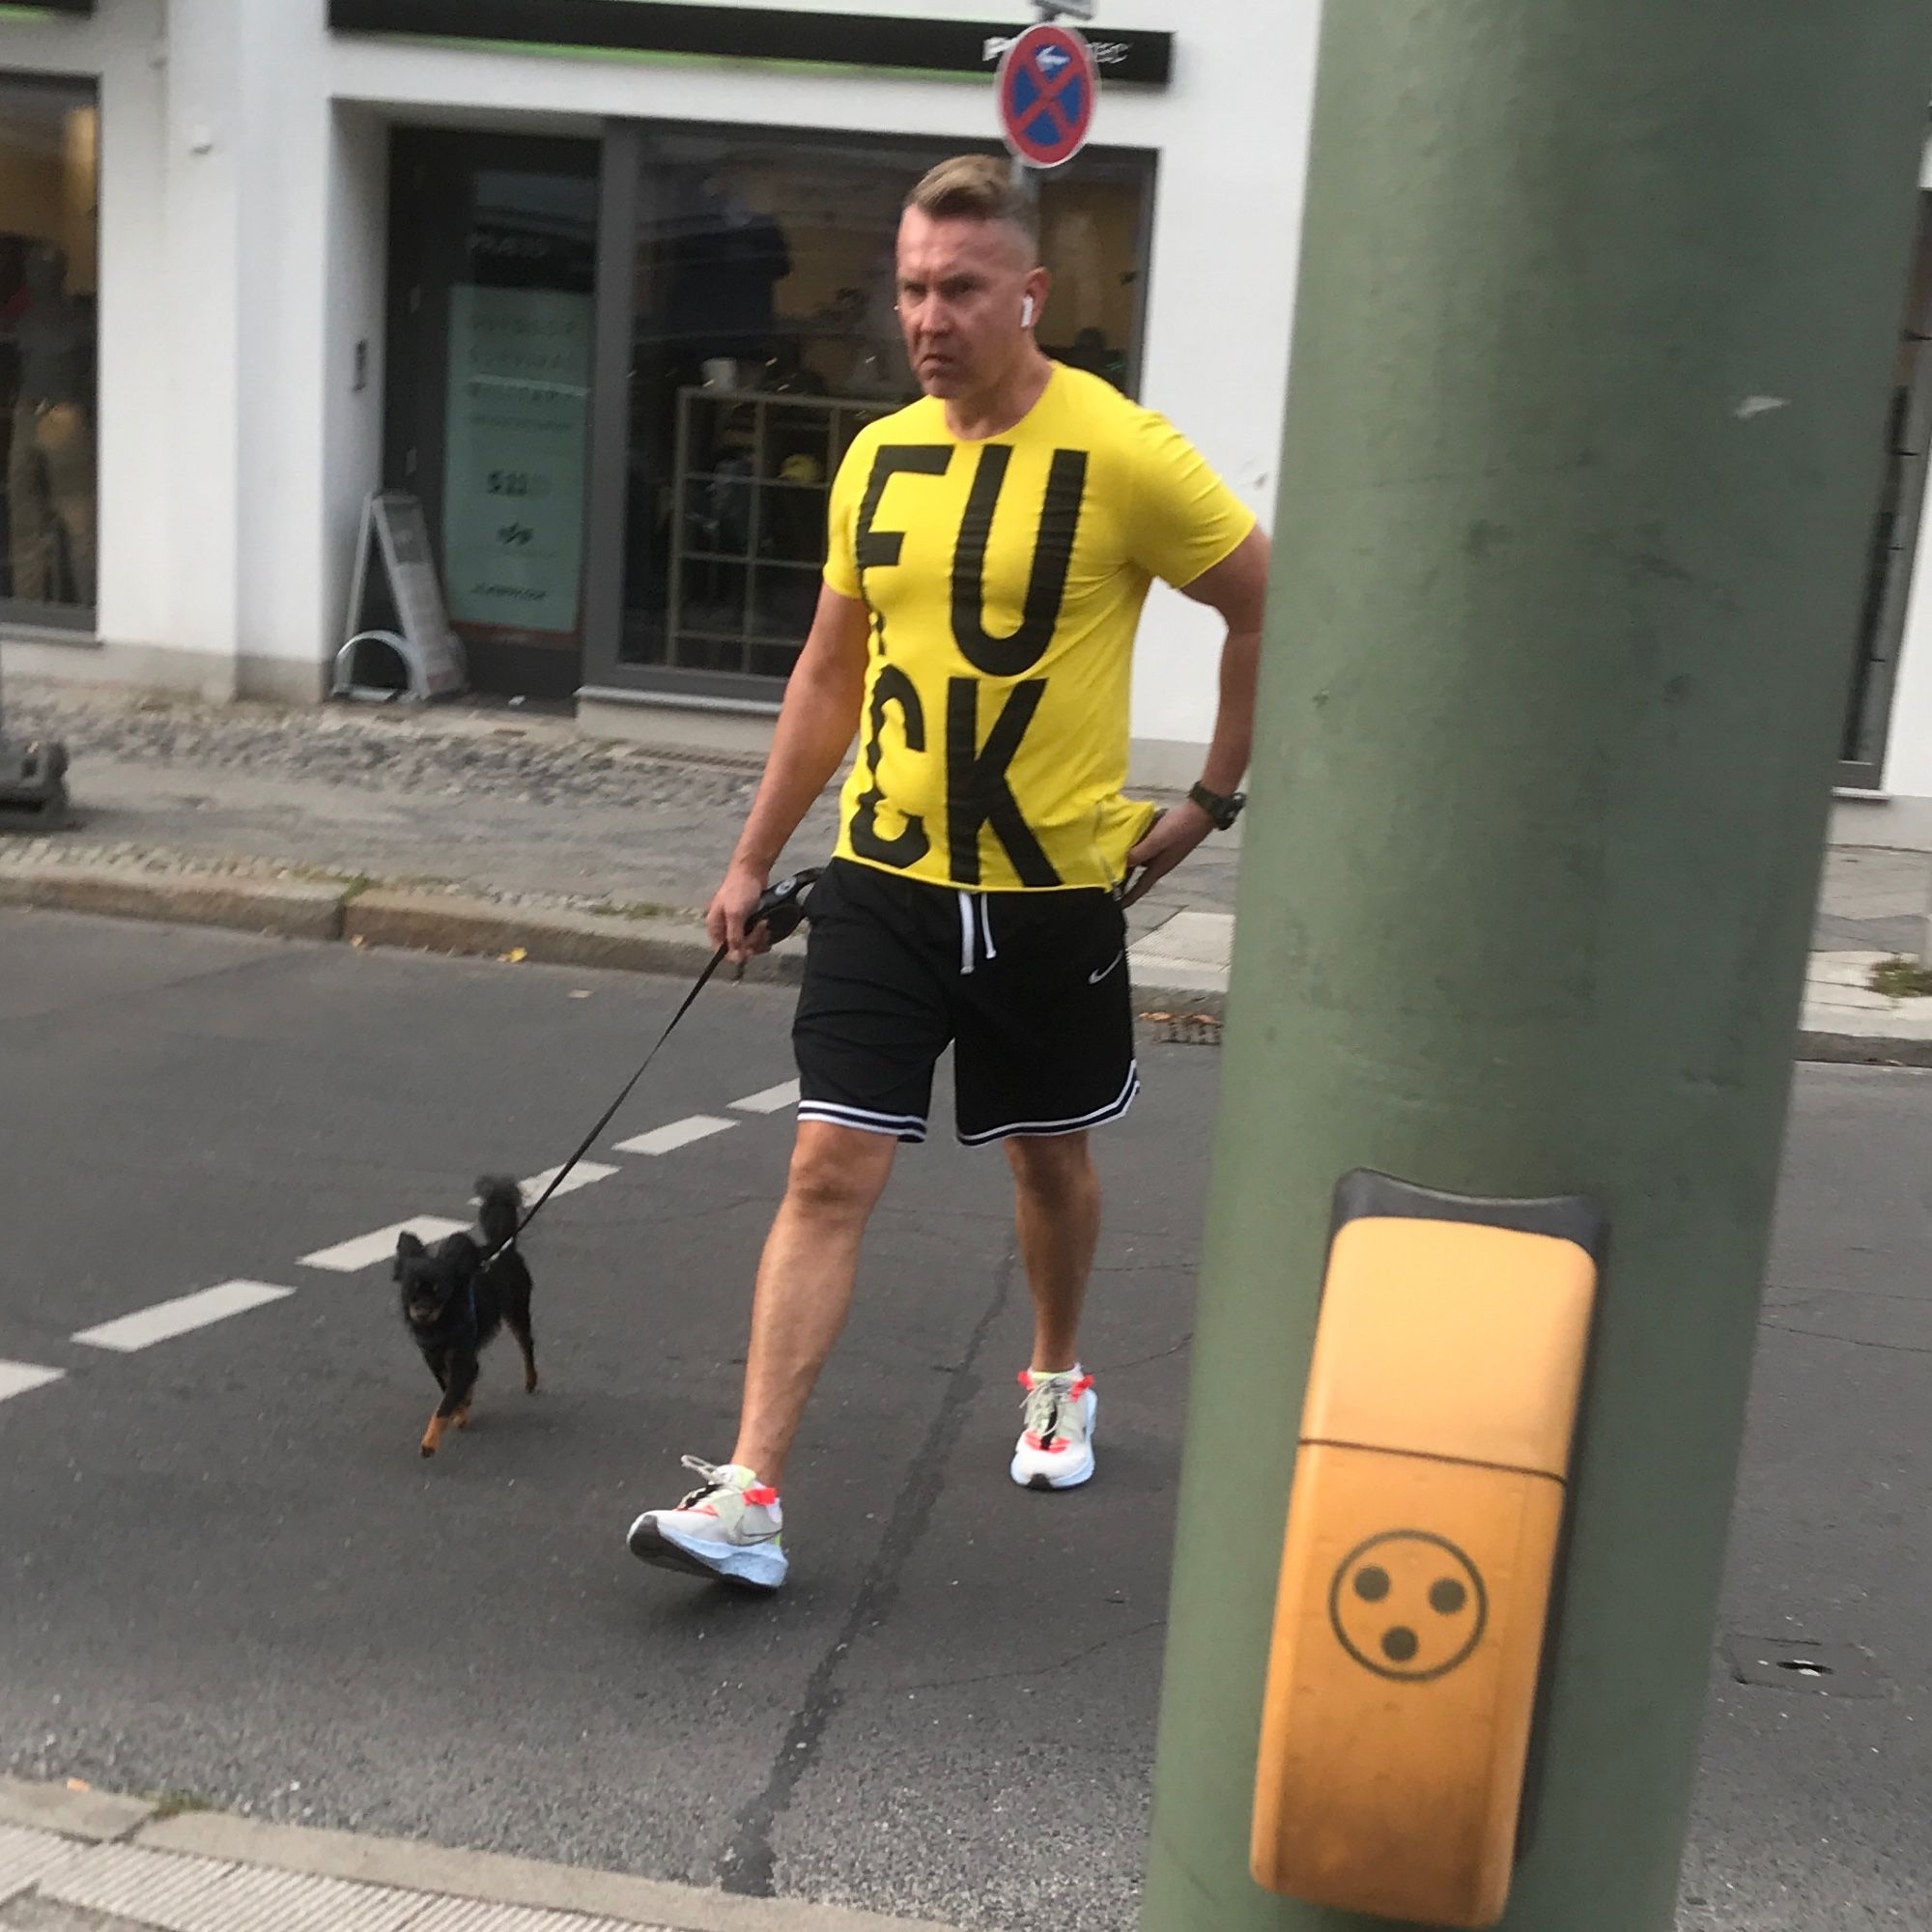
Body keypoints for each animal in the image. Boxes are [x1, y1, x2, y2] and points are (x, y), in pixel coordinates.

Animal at [390, 1175, 537, 1461]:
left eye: (440, 1291)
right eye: (411, 1291)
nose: (422, 1310)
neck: (438, 1325)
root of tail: (503, 1246)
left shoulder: (461, 1357)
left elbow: (445, 1402)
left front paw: (430, 1442)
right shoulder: (434, 1358)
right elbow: (447, 1387)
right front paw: (462, 1408)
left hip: (516, 1310)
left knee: (526, 1345)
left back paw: (531, 1380)